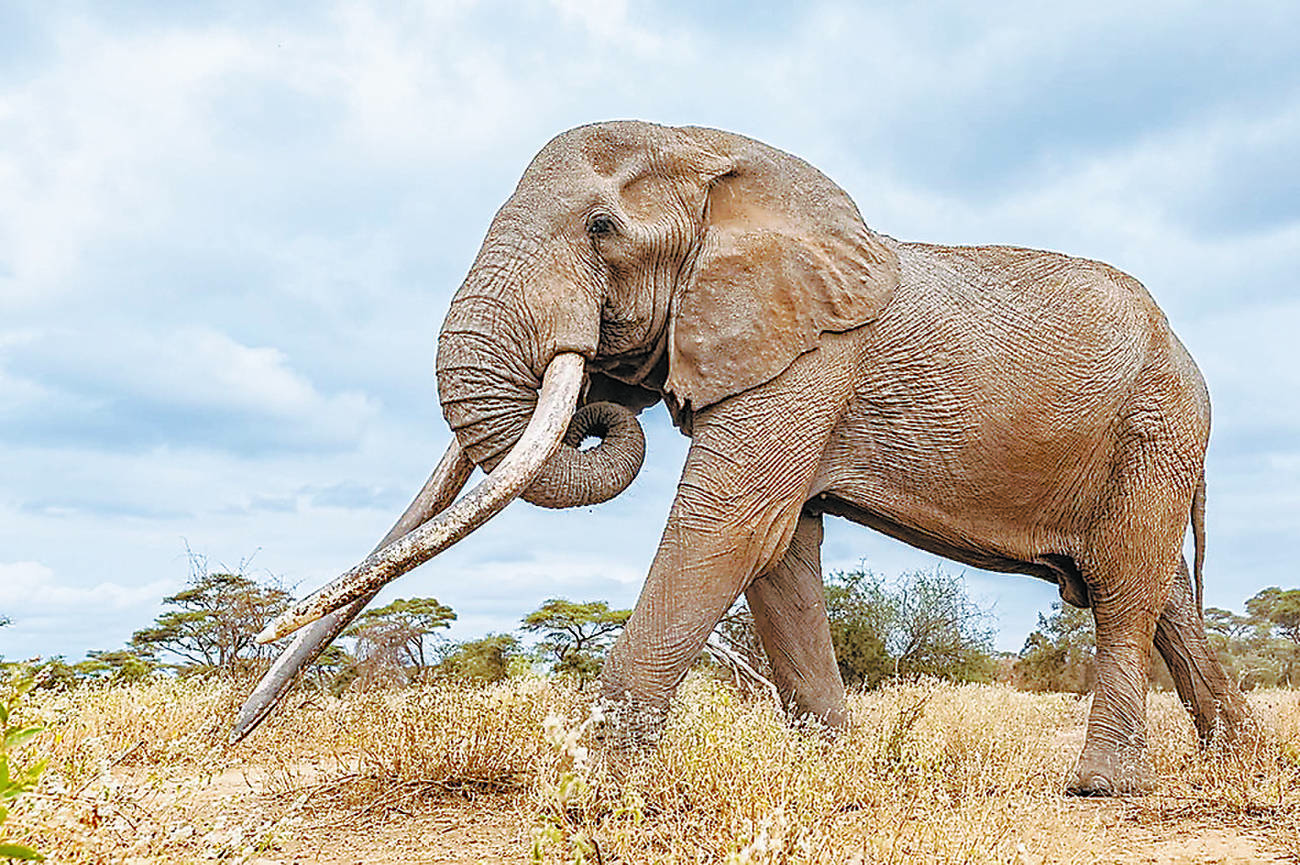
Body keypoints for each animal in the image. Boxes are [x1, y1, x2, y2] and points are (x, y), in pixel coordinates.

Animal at [235, 120, 1250, 796]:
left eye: (600, 229)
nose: (230, 733)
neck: (714, 153)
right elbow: (779, 554)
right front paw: (837, 775)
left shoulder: (811, 357)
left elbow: (727, 525)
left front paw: (591, 790)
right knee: (1162, 594)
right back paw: (1240, 758)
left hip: (1156, 425)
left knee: (1123, 588)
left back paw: (1101, 786)